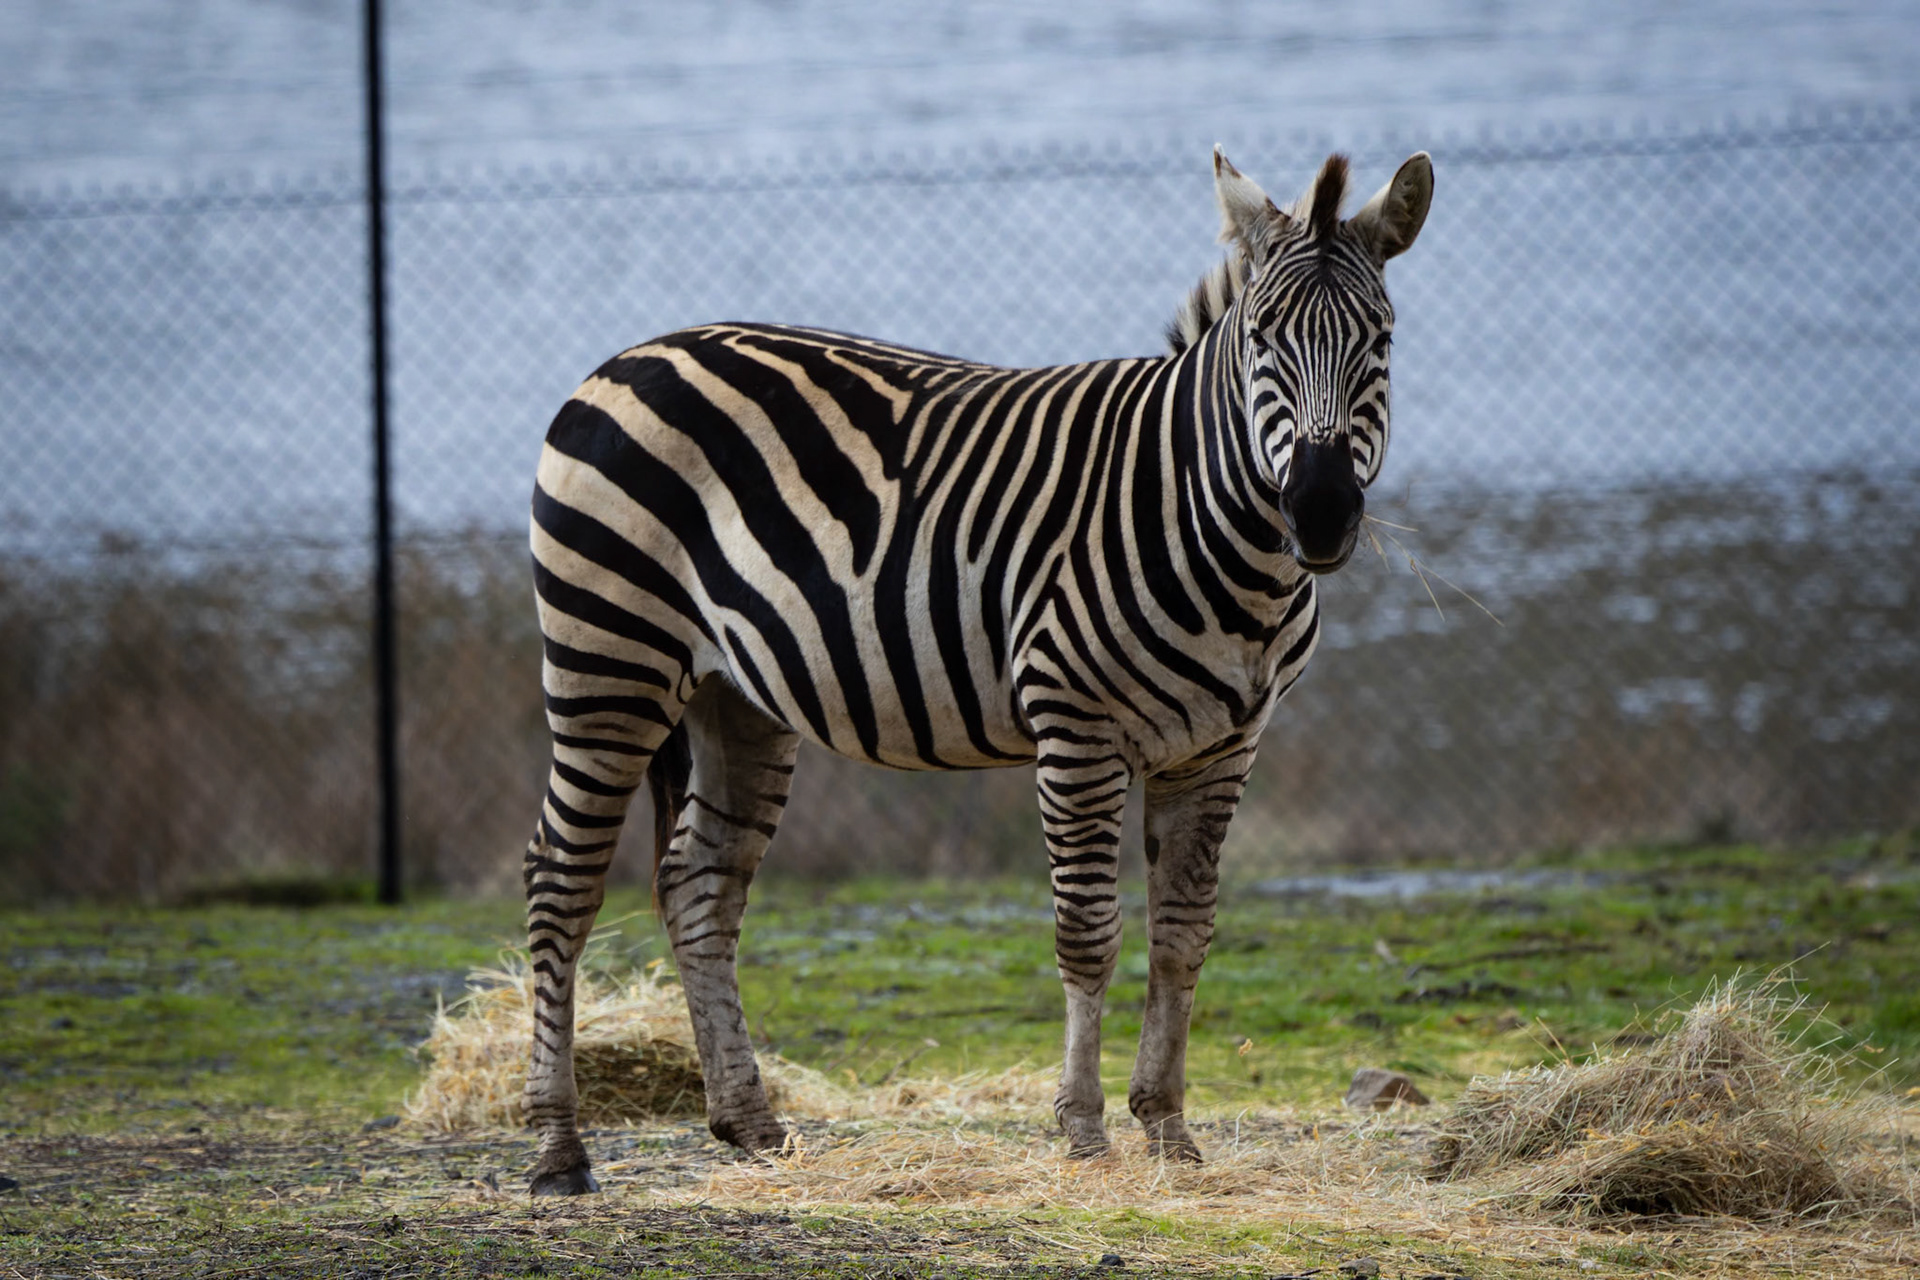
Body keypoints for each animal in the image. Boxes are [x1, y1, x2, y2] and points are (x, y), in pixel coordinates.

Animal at [522, 146, 1433, 1194]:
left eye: (1382, 341)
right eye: (1261, 340)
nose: (1321, 513)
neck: (1219, 536)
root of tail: (626, 357)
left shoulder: (1223, 746)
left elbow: (1182, 934)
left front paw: (1168, 1131)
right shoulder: (1075, 726)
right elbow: (1089, 933)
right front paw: (1083, 1131)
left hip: (733, 694)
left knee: (699, 883)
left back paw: (752, 1125)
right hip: (608, 661)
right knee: (560, 878)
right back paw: (558, 1151)